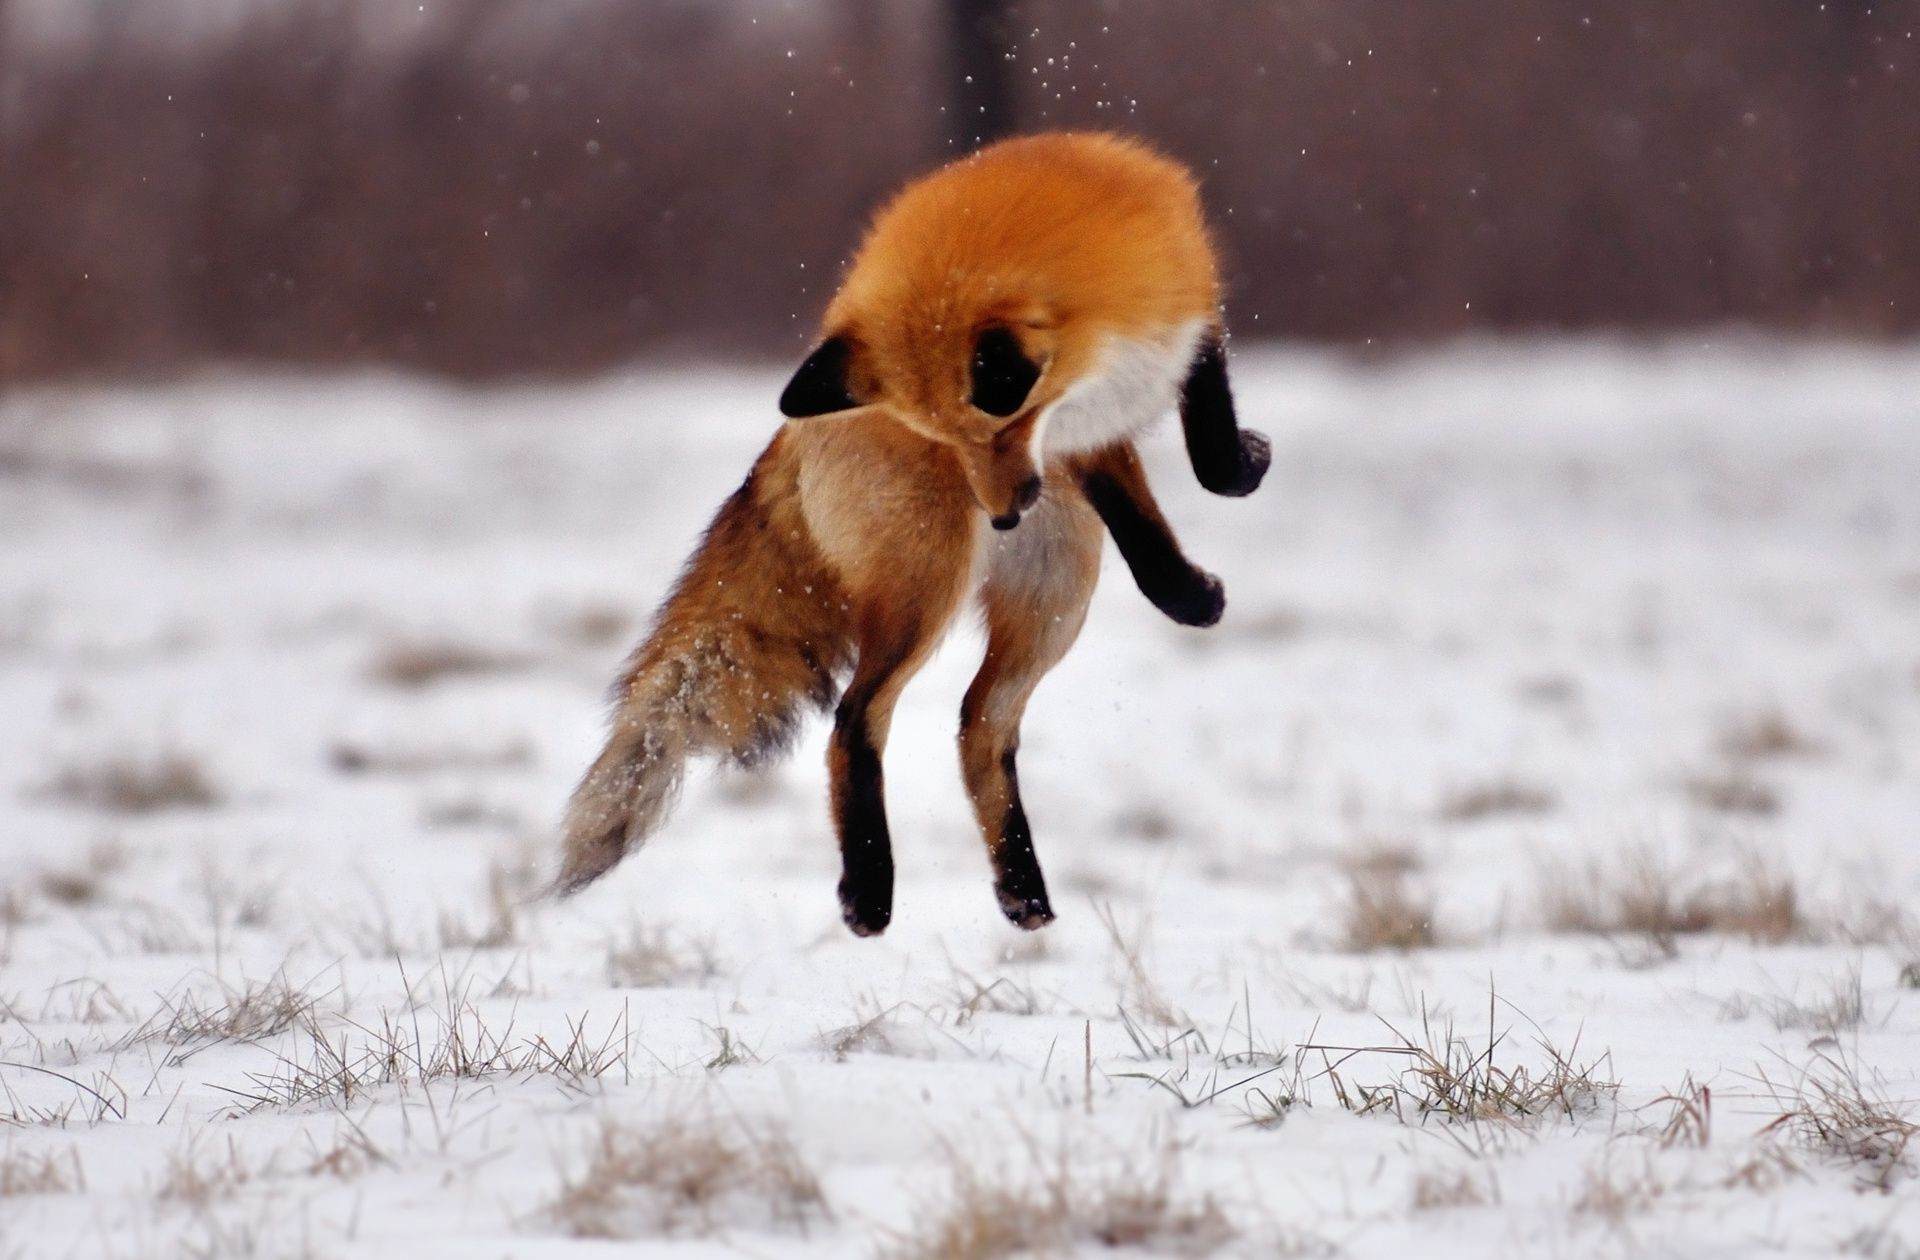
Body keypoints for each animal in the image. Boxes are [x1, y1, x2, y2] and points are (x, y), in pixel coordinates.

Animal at [560, 132, 1274, 933]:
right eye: (950, 438)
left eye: (998, 428)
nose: (1006, 514)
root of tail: (789, 433)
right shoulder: (1102, 415)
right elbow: (1206, 472)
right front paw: (1236, 496)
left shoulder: (1144, 369)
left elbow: (1167, 522)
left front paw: (1194, 586)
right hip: (930, 589)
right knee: (855, 718)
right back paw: (870, 890)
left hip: (1055, 595)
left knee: (978, 725)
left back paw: (1021, 890)